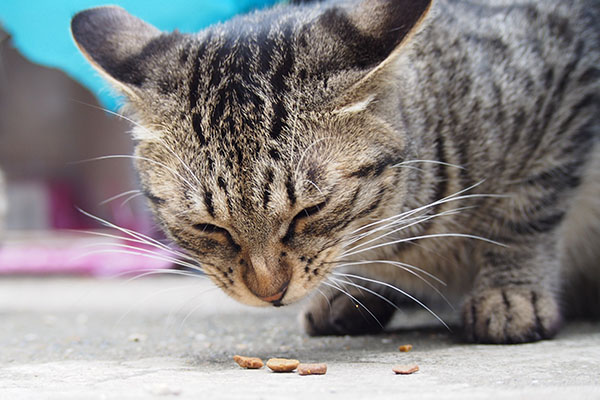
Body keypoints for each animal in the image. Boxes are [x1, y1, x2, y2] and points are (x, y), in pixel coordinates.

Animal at [71, 0, 600, 344]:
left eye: (310, 211)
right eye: (208, 227)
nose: (270, 293)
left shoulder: (566, 89)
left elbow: (524, 214)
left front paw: (511, 292)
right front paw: (357, 291)